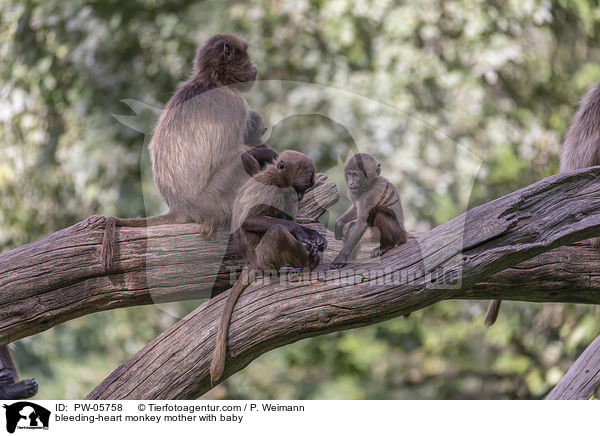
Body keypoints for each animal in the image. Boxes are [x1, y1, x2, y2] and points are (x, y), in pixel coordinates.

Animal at [101, 34, 276, 270]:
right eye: (245, 55)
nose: (254, 66)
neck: (210, 80)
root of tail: (179, 207)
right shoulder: (234, 102)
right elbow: (234, 151)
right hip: (211, 200)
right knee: (242, 159)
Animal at [209, 151, 326, 384]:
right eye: (298, 188)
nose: (299, 197)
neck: (275, 178)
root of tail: (252, 261)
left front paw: (315, 237)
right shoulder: (271, 190)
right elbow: (249, 220)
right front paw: (299, 231)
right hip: (264, 255)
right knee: (277, 231)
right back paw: (306, 263)